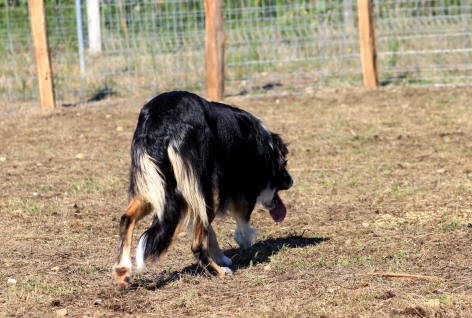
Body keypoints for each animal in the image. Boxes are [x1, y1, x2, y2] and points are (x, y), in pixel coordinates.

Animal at [113, 90, 292, 286]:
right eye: (284, 164)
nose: (290, 181)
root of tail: (161, 124)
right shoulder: (235, 186)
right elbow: (242, 218)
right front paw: (243, 241)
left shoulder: (198, 193)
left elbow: (208, 229)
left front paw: (221, 256)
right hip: (201, 189)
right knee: (197, 244)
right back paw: (219, 272)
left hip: (154, 186)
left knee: (126, 219)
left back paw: (122, 270)